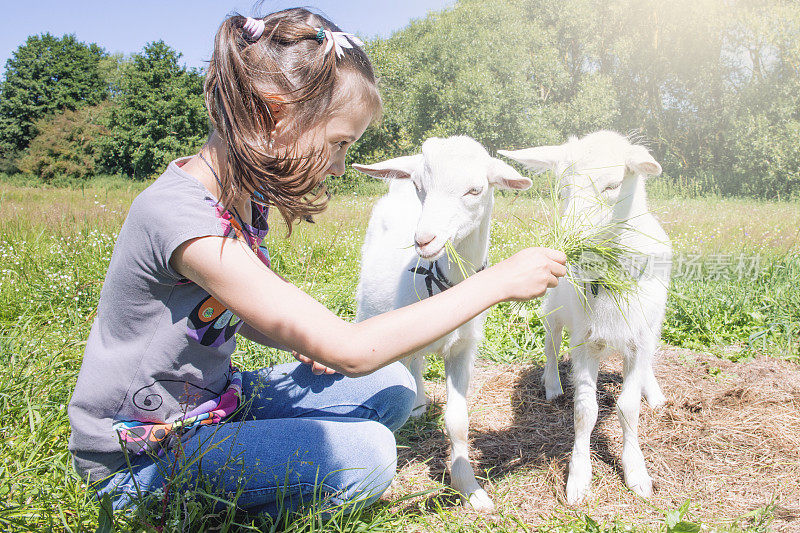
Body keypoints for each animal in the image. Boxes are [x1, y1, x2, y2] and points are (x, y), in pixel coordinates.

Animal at [354, 135, 532, 510]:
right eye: (420, 186)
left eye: (475, 190)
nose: (424, 240)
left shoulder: (464, 350)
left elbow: (458, 421)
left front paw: (470, 489)